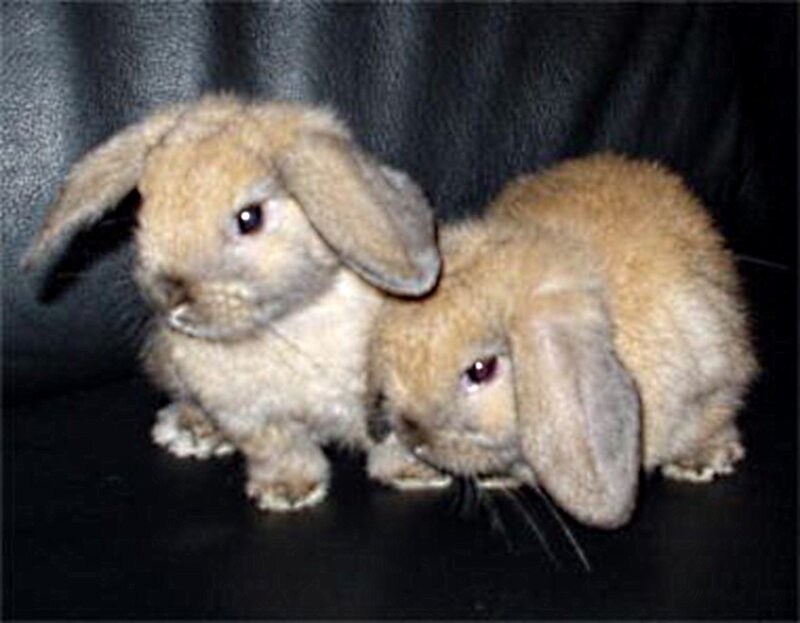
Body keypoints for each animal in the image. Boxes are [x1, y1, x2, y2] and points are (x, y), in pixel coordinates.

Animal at [23, 94, 450, 512]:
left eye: (250, 217)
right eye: (144, 205)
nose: (170, 296)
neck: (286, 325)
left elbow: (395, 443)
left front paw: (416, 474)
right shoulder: (247, 415)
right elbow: (278, 448)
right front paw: (288, 492)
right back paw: (190, 432)